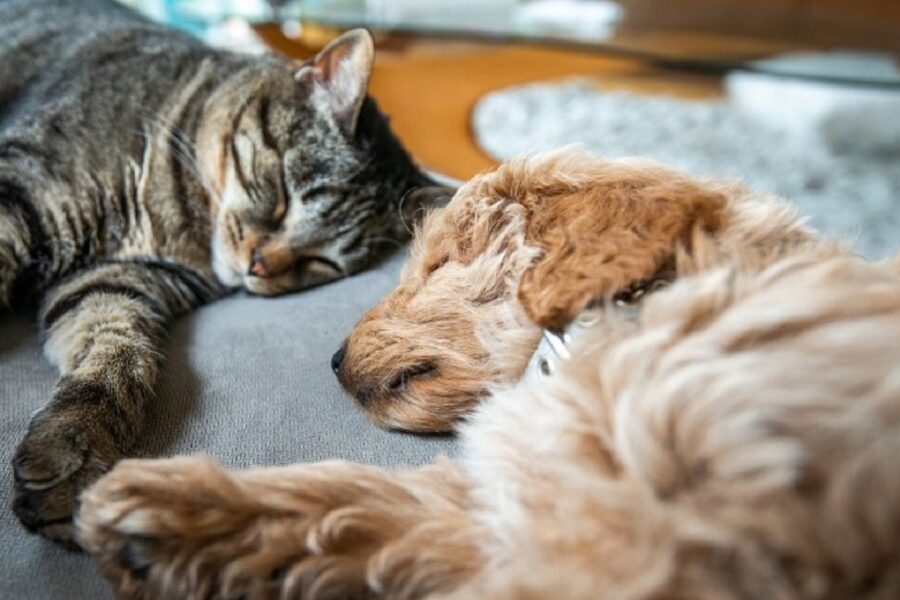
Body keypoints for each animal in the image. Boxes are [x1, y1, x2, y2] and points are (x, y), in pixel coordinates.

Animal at [1, 0, 444, 548]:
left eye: (320, 262)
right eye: (283, 199)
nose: (259, 265)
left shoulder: (117, 282)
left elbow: (117, 360)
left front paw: (73, 452)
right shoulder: (26, 191)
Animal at [77, 151, 900, 600]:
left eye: (439, 262)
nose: (334, 358)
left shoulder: (638, 542)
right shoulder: (548, 495)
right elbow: (377, 504)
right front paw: (175, 516)